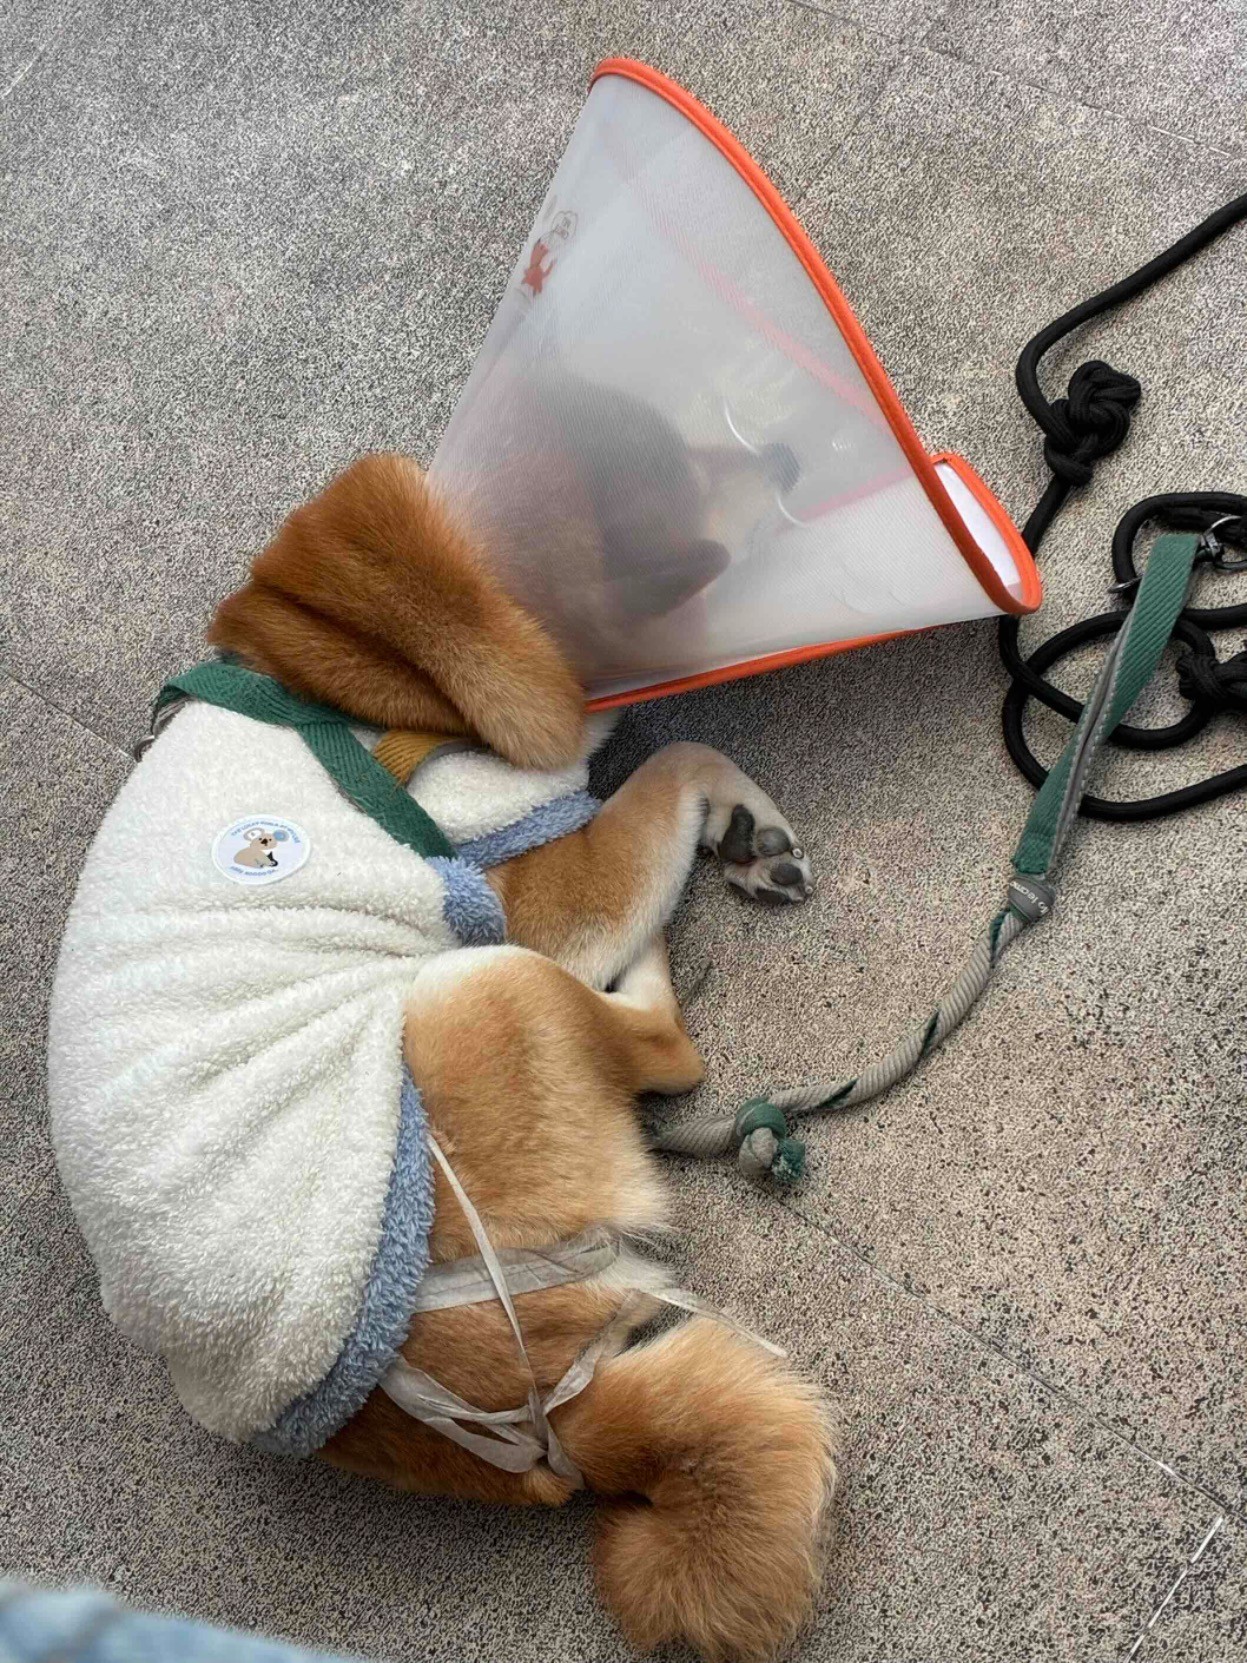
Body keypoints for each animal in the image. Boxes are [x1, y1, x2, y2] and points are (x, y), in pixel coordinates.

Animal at [49, 453, 836, 1663]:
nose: (793, 474)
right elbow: (669, 764)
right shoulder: (541, 875)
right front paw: (732, 816)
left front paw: (744, 833)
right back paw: (654, 964)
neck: (352, 688)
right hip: (483, 984)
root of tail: (547, 1418)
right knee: (663, 1048)